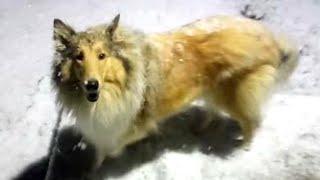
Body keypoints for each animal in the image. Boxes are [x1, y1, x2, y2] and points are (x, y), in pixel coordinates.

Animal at [51, 14, 298, 167]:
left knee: (251, 122)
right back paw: (200, 128)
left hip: (234, 94)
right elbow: (99, 151)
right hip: (213, 89)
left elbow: (111, 147)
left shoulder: (132, 124)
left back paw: (243, 150)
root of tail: (270, 38)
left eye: (102, 56)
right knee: (215, 110)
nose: (91, 85)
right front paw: (92, 168)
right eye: (78, 56)